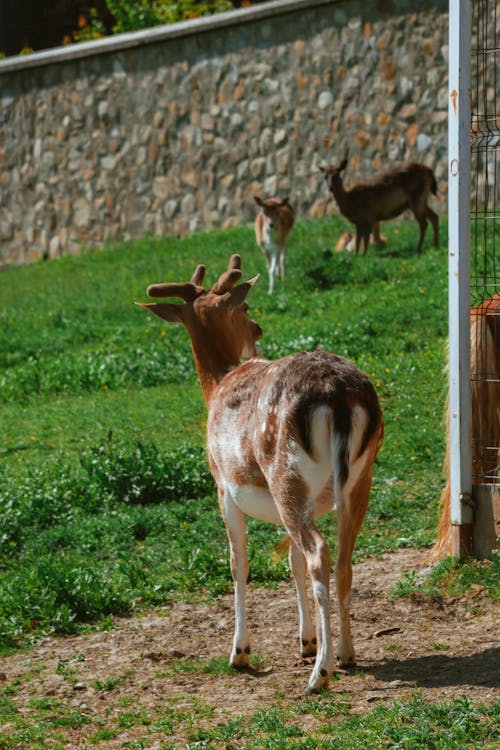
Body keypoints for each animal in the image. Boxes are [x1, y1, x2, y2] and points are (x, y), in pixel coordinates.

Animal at [139, 256, 384, 696]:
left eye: (246, 306)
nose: (257, 330)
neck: (216, 385)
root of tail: (338, 395)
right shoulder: (312, 502)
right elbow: (291, 560)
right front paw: (306, 641)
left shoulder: (223, 488)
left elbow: (239, 562)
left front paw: (239, 652)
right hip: (356, 479)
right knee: (342, 559)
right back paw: (345, 654)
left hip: (284, 474)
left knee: (319, 554)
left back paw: (319, 675)